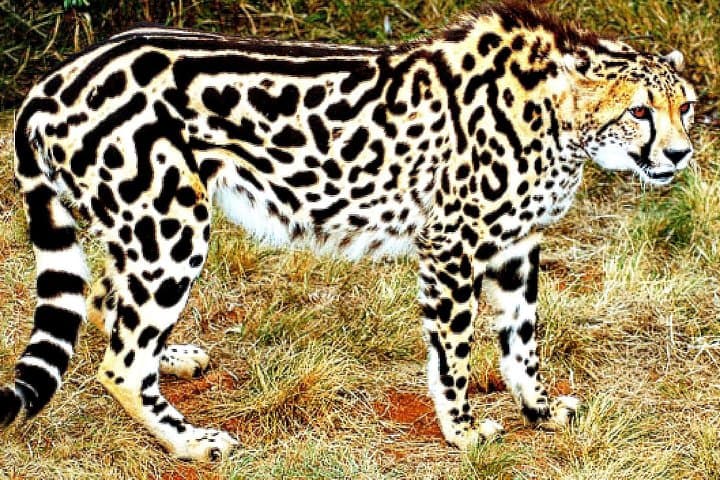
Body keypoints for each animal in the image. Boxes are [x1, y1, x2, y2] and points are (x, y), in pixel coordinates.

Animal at [2, 1, 695, 461]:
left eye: (684, 107)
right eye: (640, 111)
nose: (682, 153)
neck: (557, 113)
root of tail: (54, 80)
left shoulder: (517, 245)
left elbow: (522, 342)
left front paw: (541, 411)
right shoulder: (451, 245)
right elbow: (454, 352)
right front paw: (463, 429)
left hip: (142, 228)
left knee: (107, 303)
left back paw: (172, 360)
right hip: (170, 225)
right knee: (122, 361)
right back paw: (192, 441)